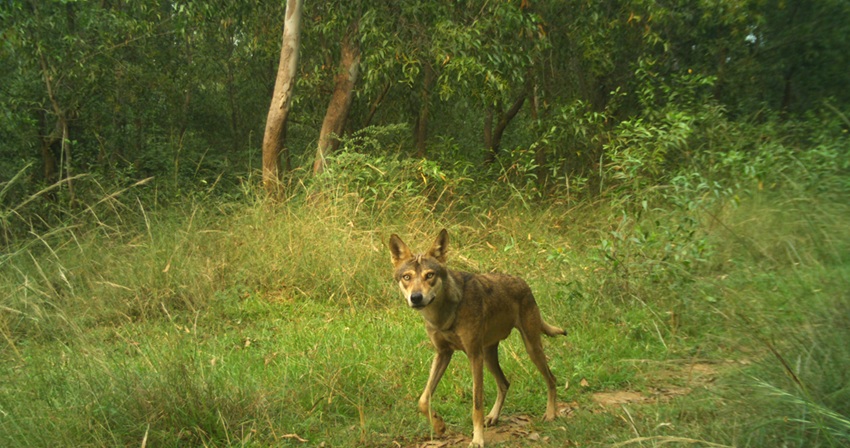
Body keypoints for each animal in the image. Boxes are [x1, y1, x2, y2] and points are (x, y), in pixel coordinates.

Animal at [388, 229, 566, 447]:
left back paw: (550, 414)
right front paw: (439, 426)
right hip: (489, 357)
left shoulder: (473, 356)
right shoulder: (443, 354)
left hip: (530, 349)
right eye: (407, 277)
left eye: (429, 275)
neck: (444, 314)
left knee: (551, 378)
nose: (416, 297)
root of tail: (523, 282)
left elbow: (476, 404)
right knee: (505, 384)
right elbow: (423, 400)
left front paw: (477, 439)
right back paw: (494, 417)